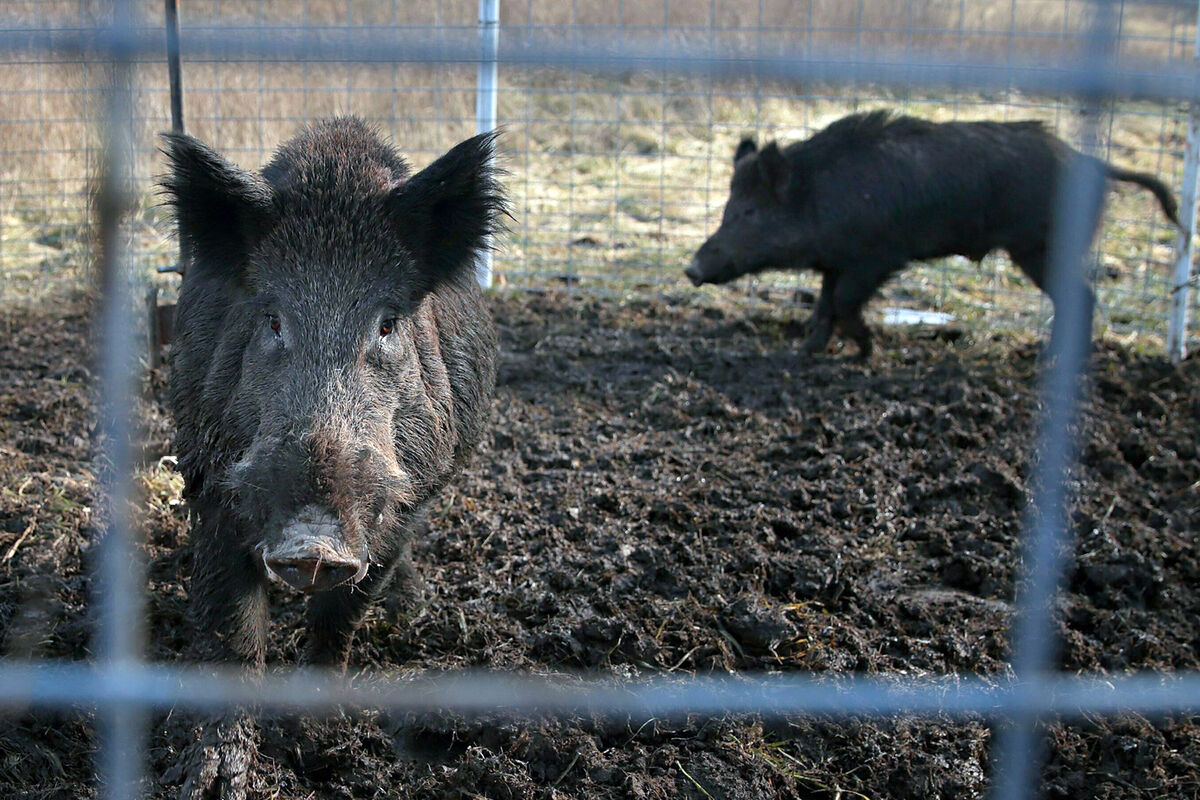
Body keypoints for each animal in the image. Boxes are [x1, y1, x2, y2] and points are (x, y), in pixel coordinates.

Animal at [160, 118, 501, 800]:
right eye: (271, 319)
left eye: (388, 324)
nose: (313, 543)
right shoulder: (209, 480)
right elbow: (232, 627)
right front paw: (210, 781)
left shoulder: (405, 503)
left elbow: (339, 618)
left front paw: (312, 744)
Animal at [686, 108, 1180, 357]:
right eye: (726, 209)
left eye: (749, 212)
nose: (691, 269)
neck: (821, 196)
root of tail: (1092, 163)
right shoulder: (837, 260)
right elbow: (824, 307)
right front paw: (803, 353)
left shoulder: (877, 257)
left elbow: (843, 303)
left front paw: (865, 351)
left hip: (1041, 246)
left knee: (1082, 297)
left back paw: (1052, 358)